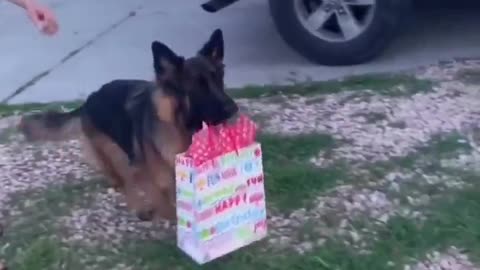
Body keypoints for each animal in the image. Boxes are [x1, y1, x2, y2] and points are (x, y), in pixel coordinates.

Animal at [17, 29, 239, 221]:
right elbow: (168, 207)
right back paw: (140, 208)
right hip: (116, 157)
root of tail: (89, 100)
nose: (233, 109)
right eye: (198, 87)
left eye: (218, 80)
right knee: (125, 183)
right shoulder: (159, 182)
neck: (183, 130)